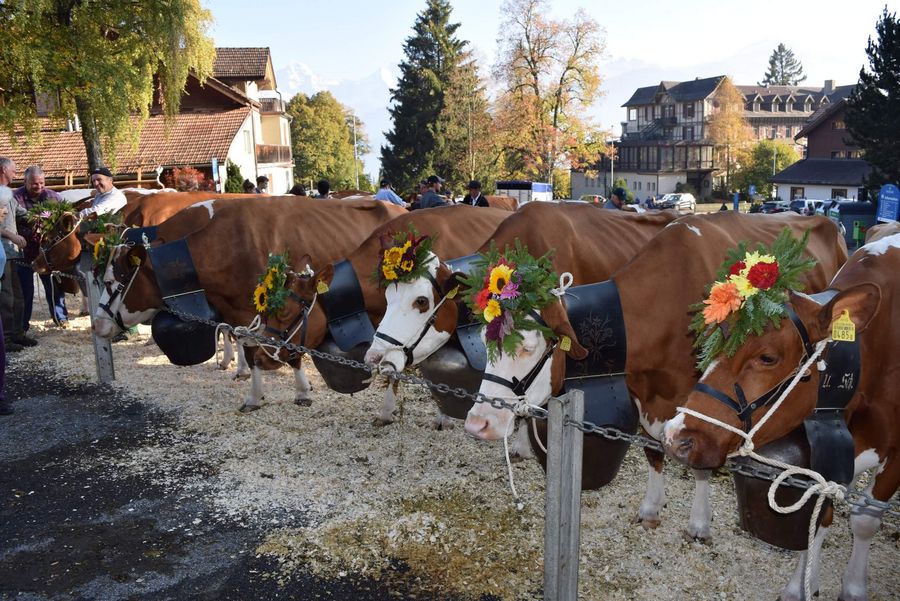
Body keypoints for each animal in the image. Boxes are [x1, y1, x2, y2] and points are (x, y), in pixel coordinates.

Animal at [92, 197, 407, 409]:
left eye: (109, 282)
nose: (98, 325)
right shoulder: (241, 313)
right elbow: (251, 348)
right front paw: (254, 394)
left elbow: (285, 351)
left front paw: (301, 392)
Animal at [463, 212, 847, 539]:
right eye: (486, 340)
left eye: (527, 347)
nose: (476, 423)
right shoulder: (644, 394)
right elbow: (652, 450)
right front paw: (651, 508)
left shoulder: (702, 404)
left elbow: (700, 463)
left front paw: (699, 523)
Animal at [664, 233, 900, 601]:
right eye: (714, 338)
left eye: (767, 357)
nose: (676, 436)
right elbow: (819, 516)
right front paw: (801, 586)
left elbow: (864, 520)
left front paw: (853, 588)